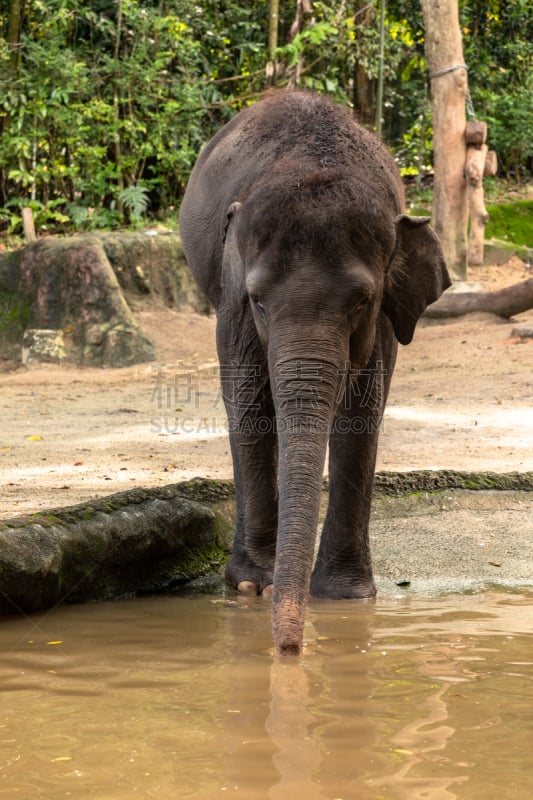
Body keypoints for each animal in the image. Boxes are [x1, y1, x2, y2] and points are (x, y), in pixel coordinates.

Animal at [179, 92, 448, 656]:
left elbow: (363, 412)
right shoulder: (233, 296)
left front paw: (346, 597)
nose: (288, 651)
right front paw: (252, 586)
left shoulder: (385, 314)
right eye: (259, 299)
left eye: (363, 300)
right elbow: (248, 400)